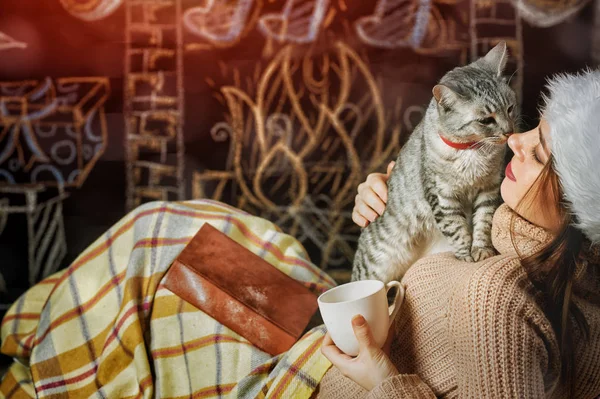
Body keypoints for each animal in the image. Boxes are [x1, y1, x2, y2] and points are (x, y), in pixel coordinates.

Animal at [352, 42, 516, 282]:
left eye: (510, 109)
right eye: (486, 120)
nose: (509, 131)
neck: (472, 151)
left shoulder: (489, 189)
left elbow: (484, 222)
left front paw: (481, 250)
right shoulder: (442, 196)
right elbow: (457, 230)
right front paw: (466, 255)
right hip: (374, 269)